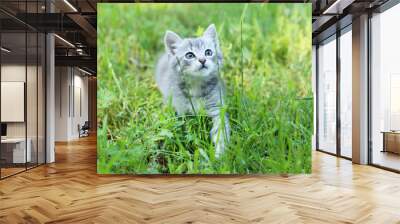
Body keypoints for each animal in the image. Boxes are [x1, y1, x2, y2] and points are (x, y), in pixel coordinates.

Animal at [156, 24, 231, 158]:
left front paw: (220, 154)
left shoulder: (217, 108)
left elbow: (220, 131)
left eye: (208, 52)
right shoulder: (182, 111)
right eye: (189, 55)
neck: (197, 84)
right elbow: (186, 128)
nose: (202, 60)